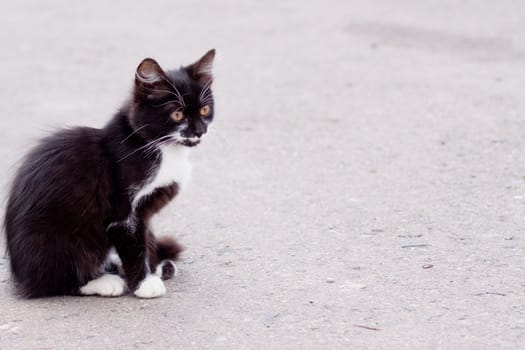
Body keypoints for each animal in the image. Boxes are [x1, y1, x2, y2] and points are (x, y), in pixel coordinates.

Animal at [2, 48, 215, 298]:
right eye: (177, 115)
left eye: (205, 109)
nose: (199, 131)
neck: (157, 146)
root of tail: (19, 275)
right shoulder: (122, 211)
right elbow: (133, 246)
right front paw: (144, 284)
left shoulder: (144, 212)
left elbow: (146, 237)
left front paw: (154, 266)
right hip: (60, 240)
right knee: (55, 281)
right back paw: (103, 281)